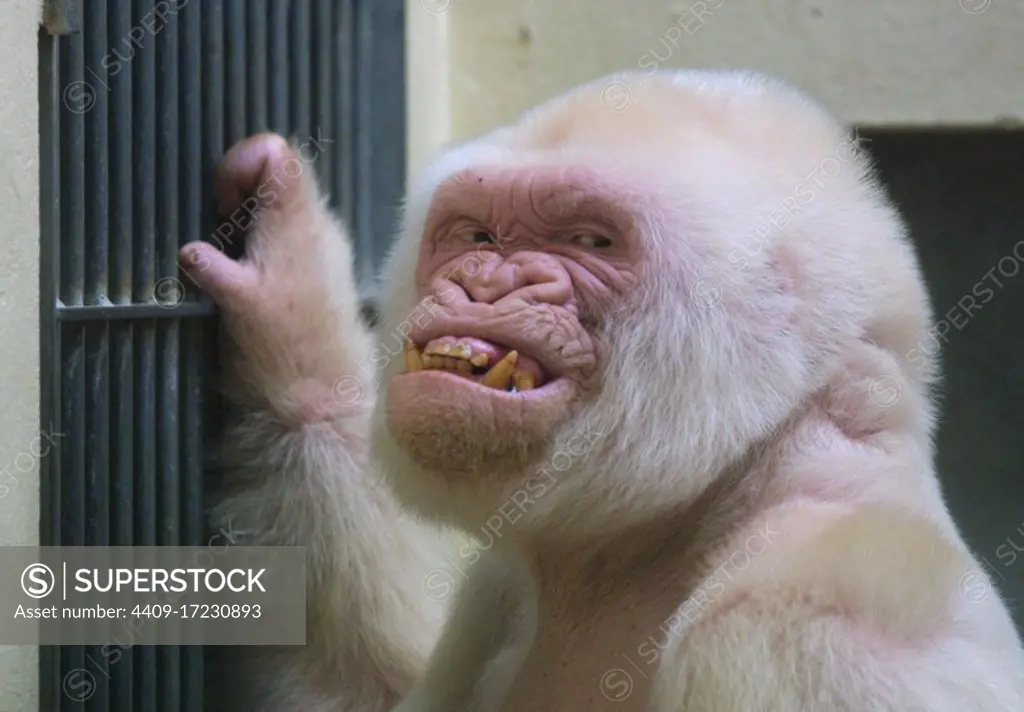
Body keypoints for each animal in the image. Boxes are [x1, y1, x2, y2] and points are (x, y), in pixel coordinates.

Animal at [180, 68, 1024, 712]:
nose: (485, 284)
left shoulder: (817, 630)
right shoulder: (501, 590)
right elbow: (382, 681)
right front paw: (292, 311)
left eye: (591, 240)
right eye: (476, 235)